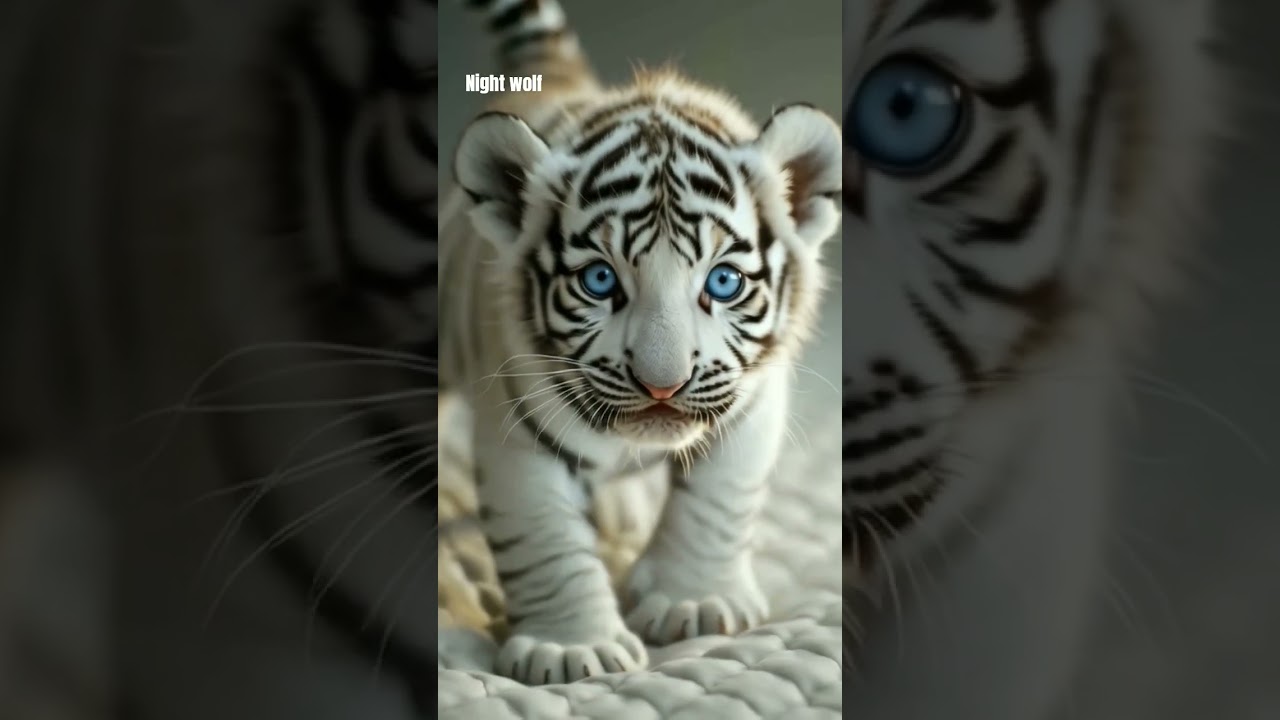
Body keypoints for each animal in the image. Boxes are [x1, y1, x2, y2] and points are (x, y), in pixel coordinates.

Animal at [439, 0, 843, 685]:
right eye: (600, 281)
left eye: (724, 281)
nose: (662, 385)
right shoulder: (519, 426)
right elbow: (545, 539)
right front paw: (572, 649)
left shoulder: (752, 403)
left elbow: (716, 502)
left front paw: (696, 603)